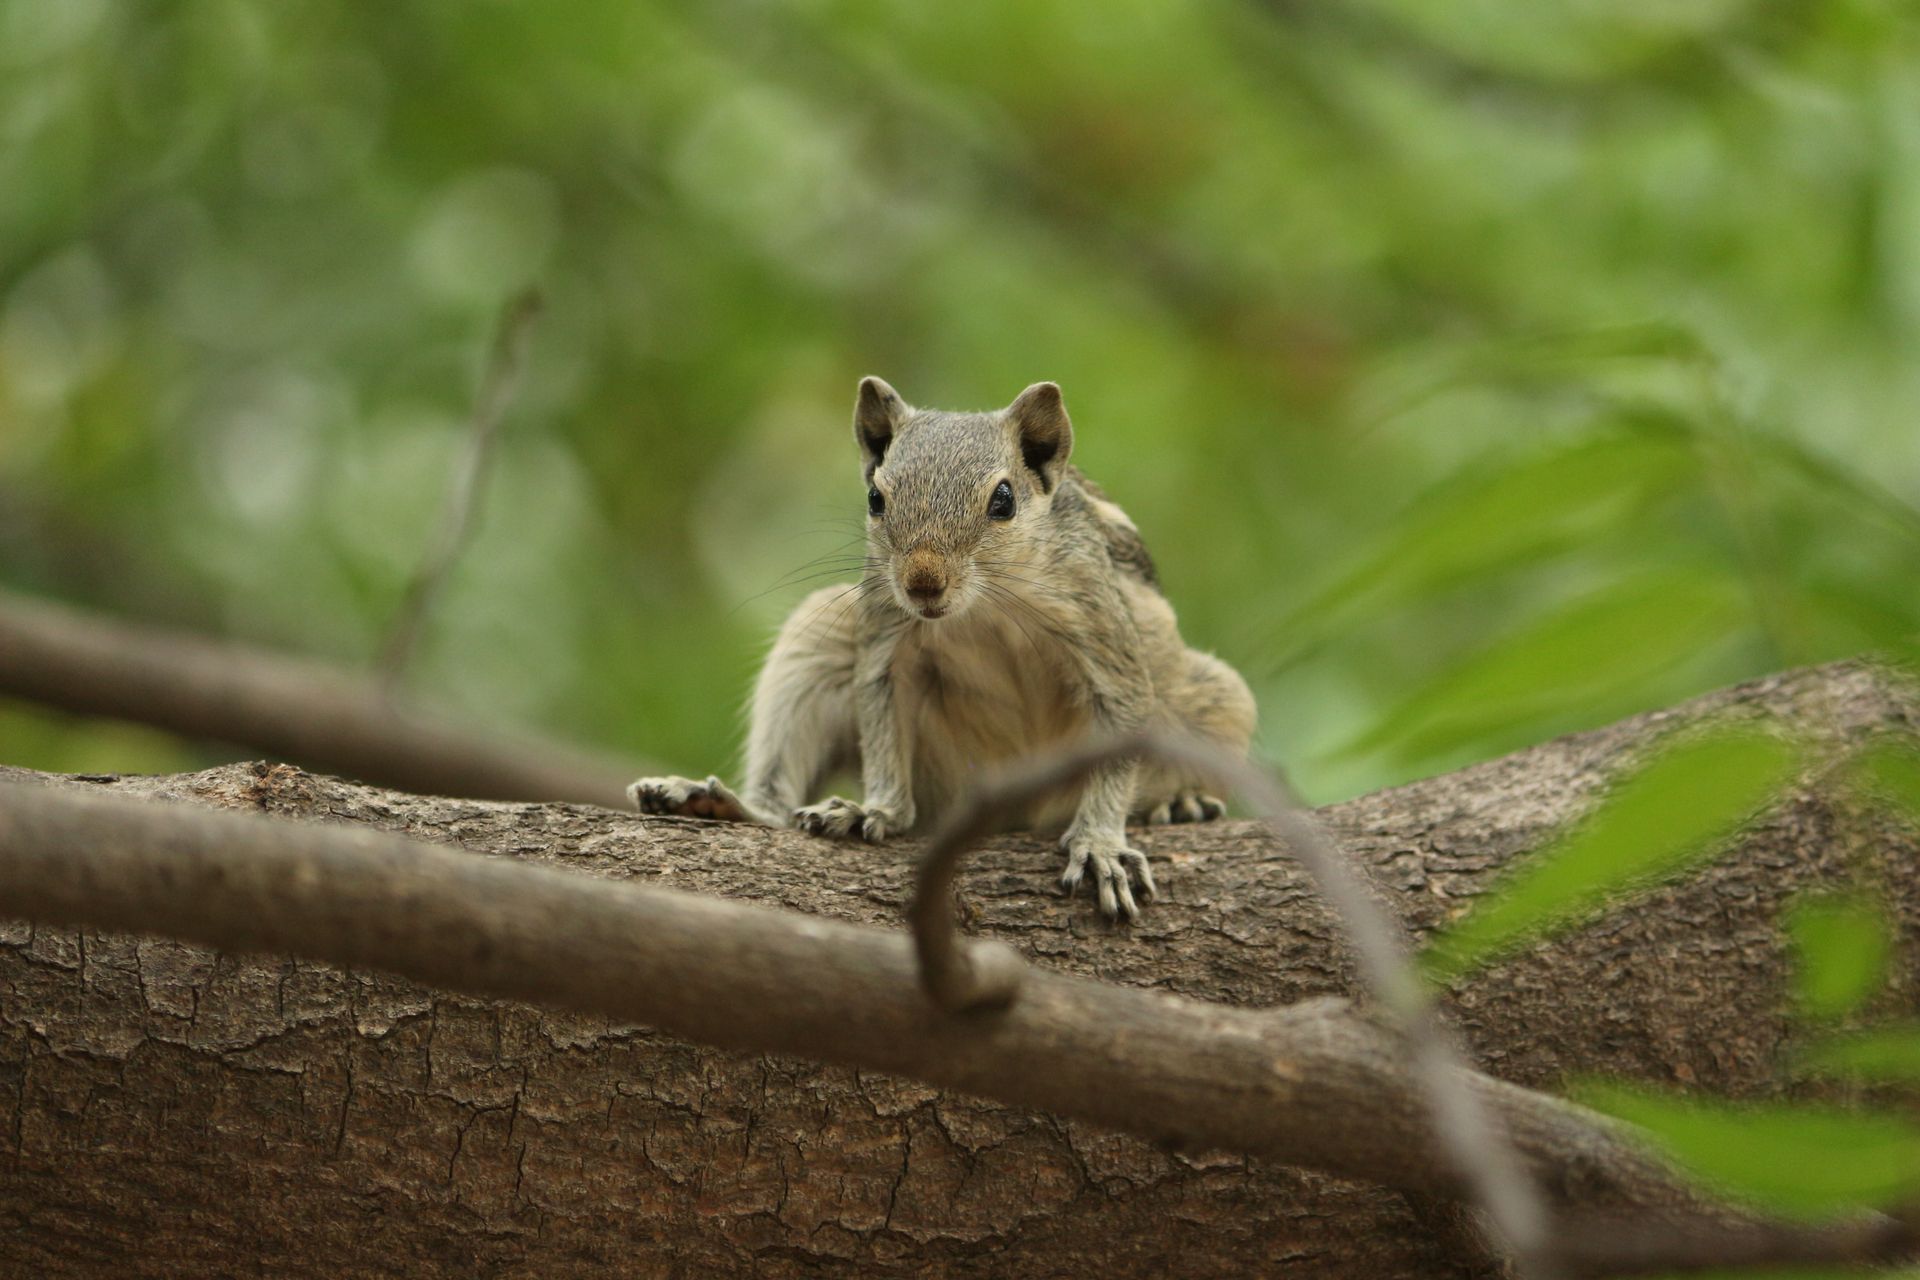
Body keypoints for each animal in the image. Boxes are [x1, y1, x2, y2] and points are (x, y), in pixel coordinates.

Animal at [630, 378, 1257, 920]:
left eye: (1004, 499)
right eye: (875, 497)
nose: (922, 582)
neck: (980, 612)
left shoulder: (1103, 634)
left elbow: (1122, 725)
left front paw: (1101, 844)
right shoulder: (885, 642)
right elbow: (881, 720)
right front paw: (874, 809)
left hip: (1215, 699)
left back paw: (1181, 802)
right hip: (815, 642)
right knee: (781, 791)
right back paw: (720, 803)